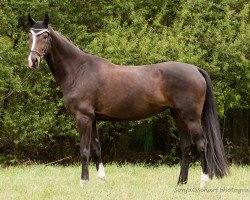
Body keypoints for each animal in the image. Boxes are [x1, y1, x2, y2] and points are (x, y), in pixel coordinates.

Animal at [27, 13, 229, 187]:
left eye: (45, 35)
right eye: (30, 35)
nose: (33, 60)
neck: (79, 70)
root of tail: (195, 69)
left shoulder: (83, 118)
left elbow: (84, 151)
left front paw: (83, 182)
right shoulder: (92, 119)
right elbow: (96, 149)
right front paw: (101, 180)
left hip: (191, 117)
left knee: (202, 144)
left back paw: (203, 181)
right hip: (178, 115)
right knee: (186, 146)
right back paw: (181, 182)